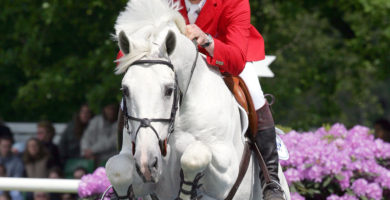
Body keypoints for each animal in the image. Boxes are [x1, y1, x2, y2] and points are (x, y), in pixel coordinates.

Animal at [105, 0, 290, 199]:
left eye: (169, 90)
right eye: (125, 90)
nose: (147, 165)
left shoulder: (226, 172)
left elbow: (194, 156)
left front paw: (188, 190)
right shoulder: (139, 164)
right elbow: (117, 169)